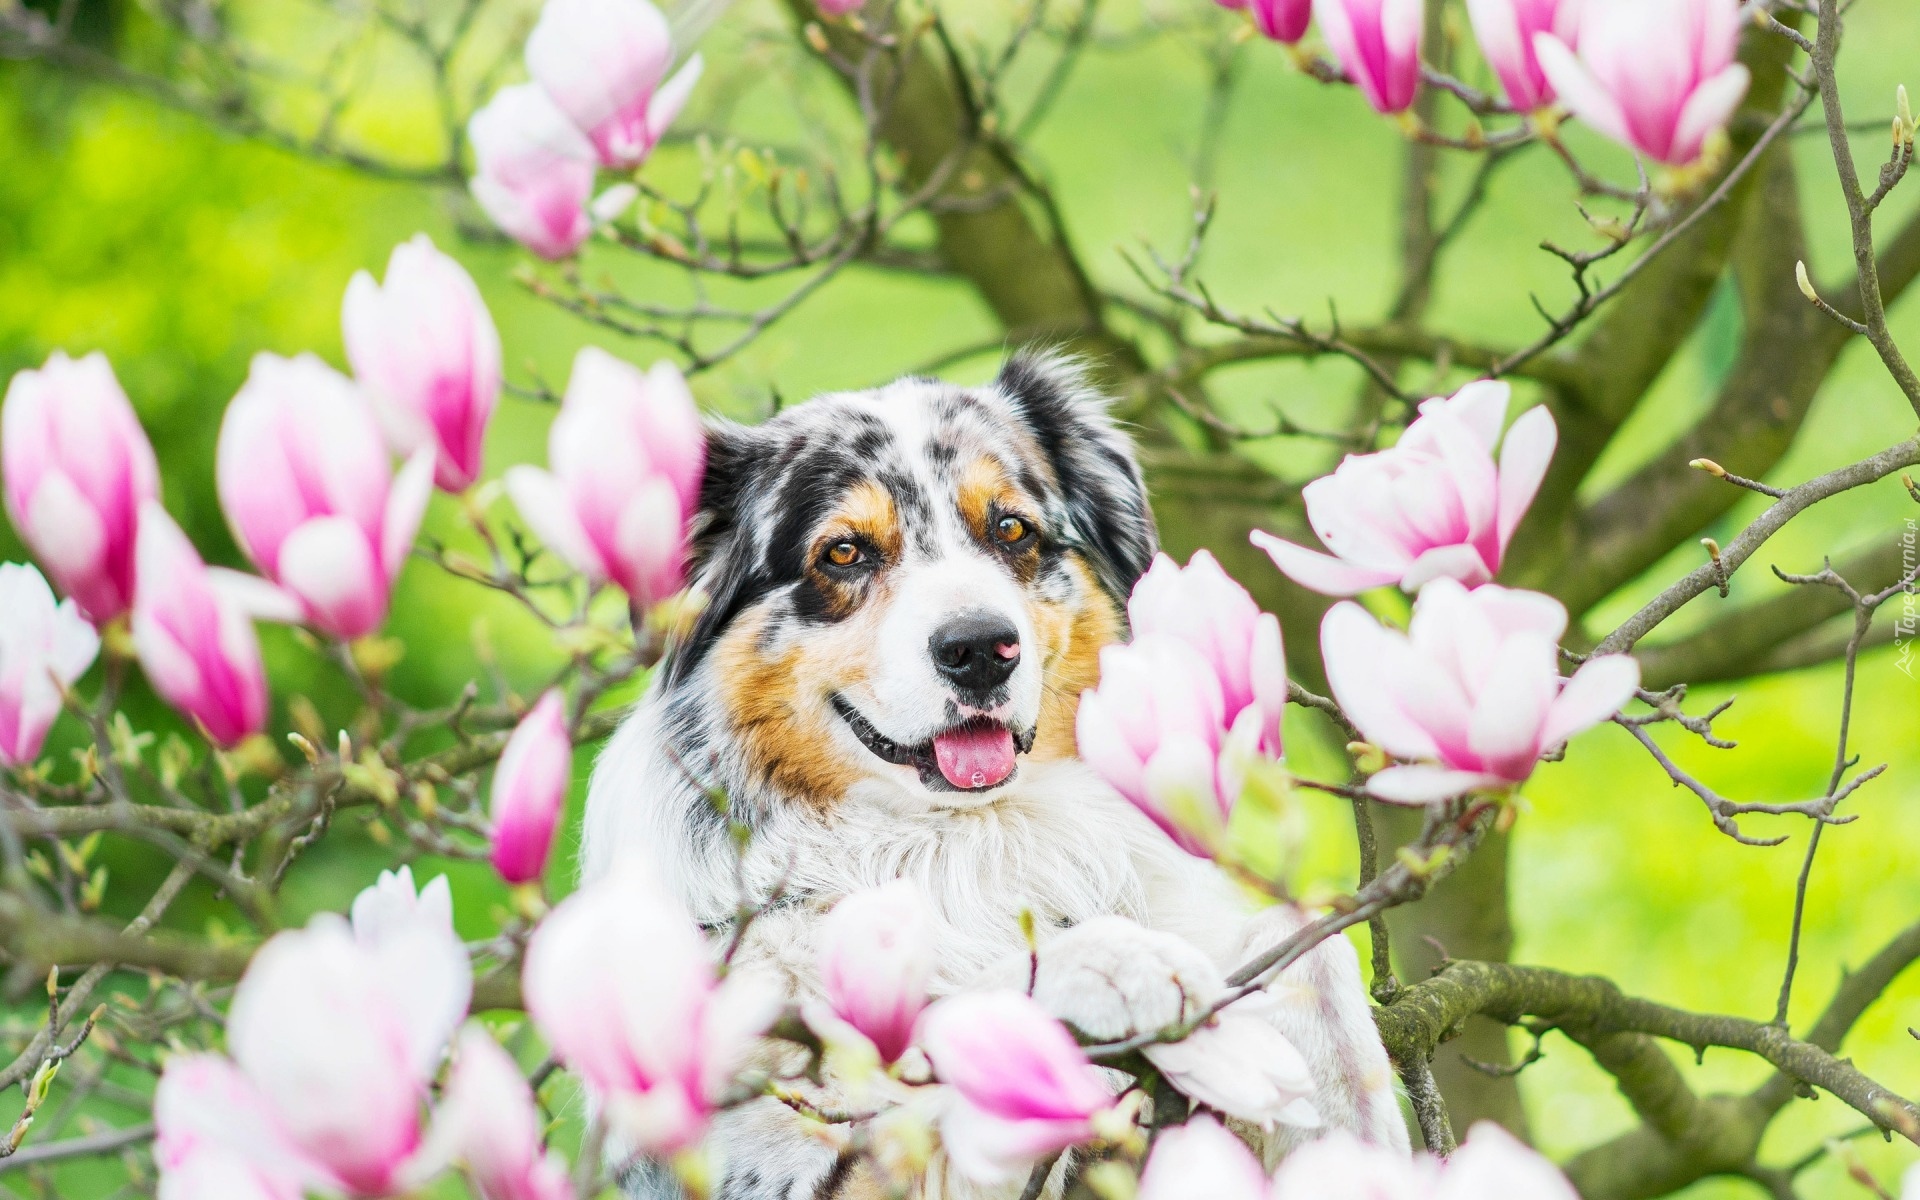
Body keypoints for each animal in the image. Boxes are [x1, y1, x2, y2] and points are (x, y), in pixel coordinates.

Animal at [576, 351, 1405, 1190]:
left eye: (1010, 528)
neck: (971, 844)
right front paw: (1120, 966)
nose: (978, 648)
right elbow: (944, 1013)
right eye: (844, 551)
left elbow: (1310, 945)